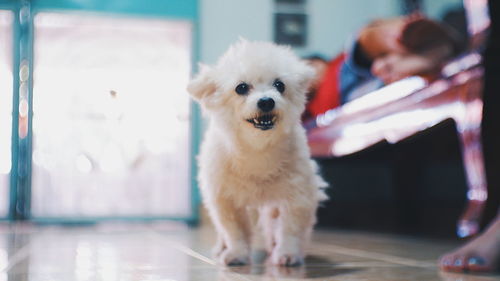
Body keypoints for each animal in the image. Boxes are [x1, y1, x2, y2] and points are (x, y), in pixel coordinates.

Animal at [188, 38, 328, 264]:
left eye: (280, 85)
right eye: (241, 88)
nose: (266, 101)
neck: (257, 149)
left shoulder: (298, 195)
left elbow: (290, 229)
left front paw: (288, 253)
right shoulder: (225, 199)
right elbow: (234, 231)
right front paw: (237, 253)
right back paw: (221, 248)